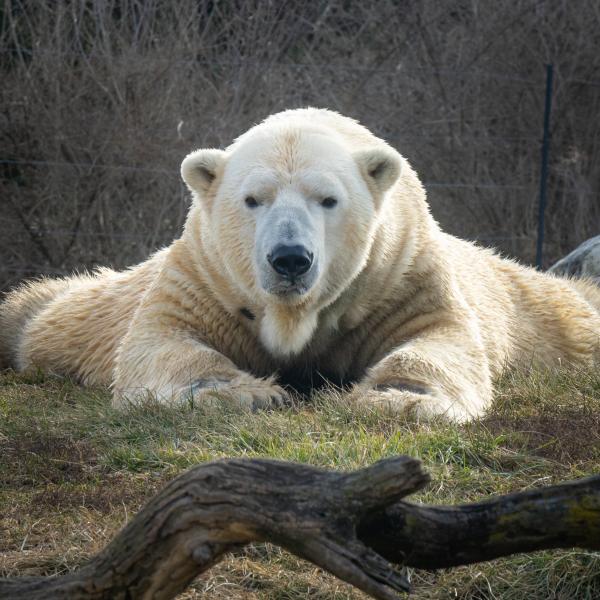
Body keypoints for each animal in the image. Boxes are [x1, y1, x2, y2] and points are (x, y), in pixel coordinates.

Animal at [1, 108, 600, 420]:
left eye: (327, 199)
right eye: (253, 199)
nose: (290, 258)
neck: (297, 318)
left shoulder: (400, 275)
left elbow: (441, 336)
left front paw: (395, 397)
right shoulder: (203, 276)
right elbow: (161, 341)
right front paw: (248, 392)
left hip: (529, 303)